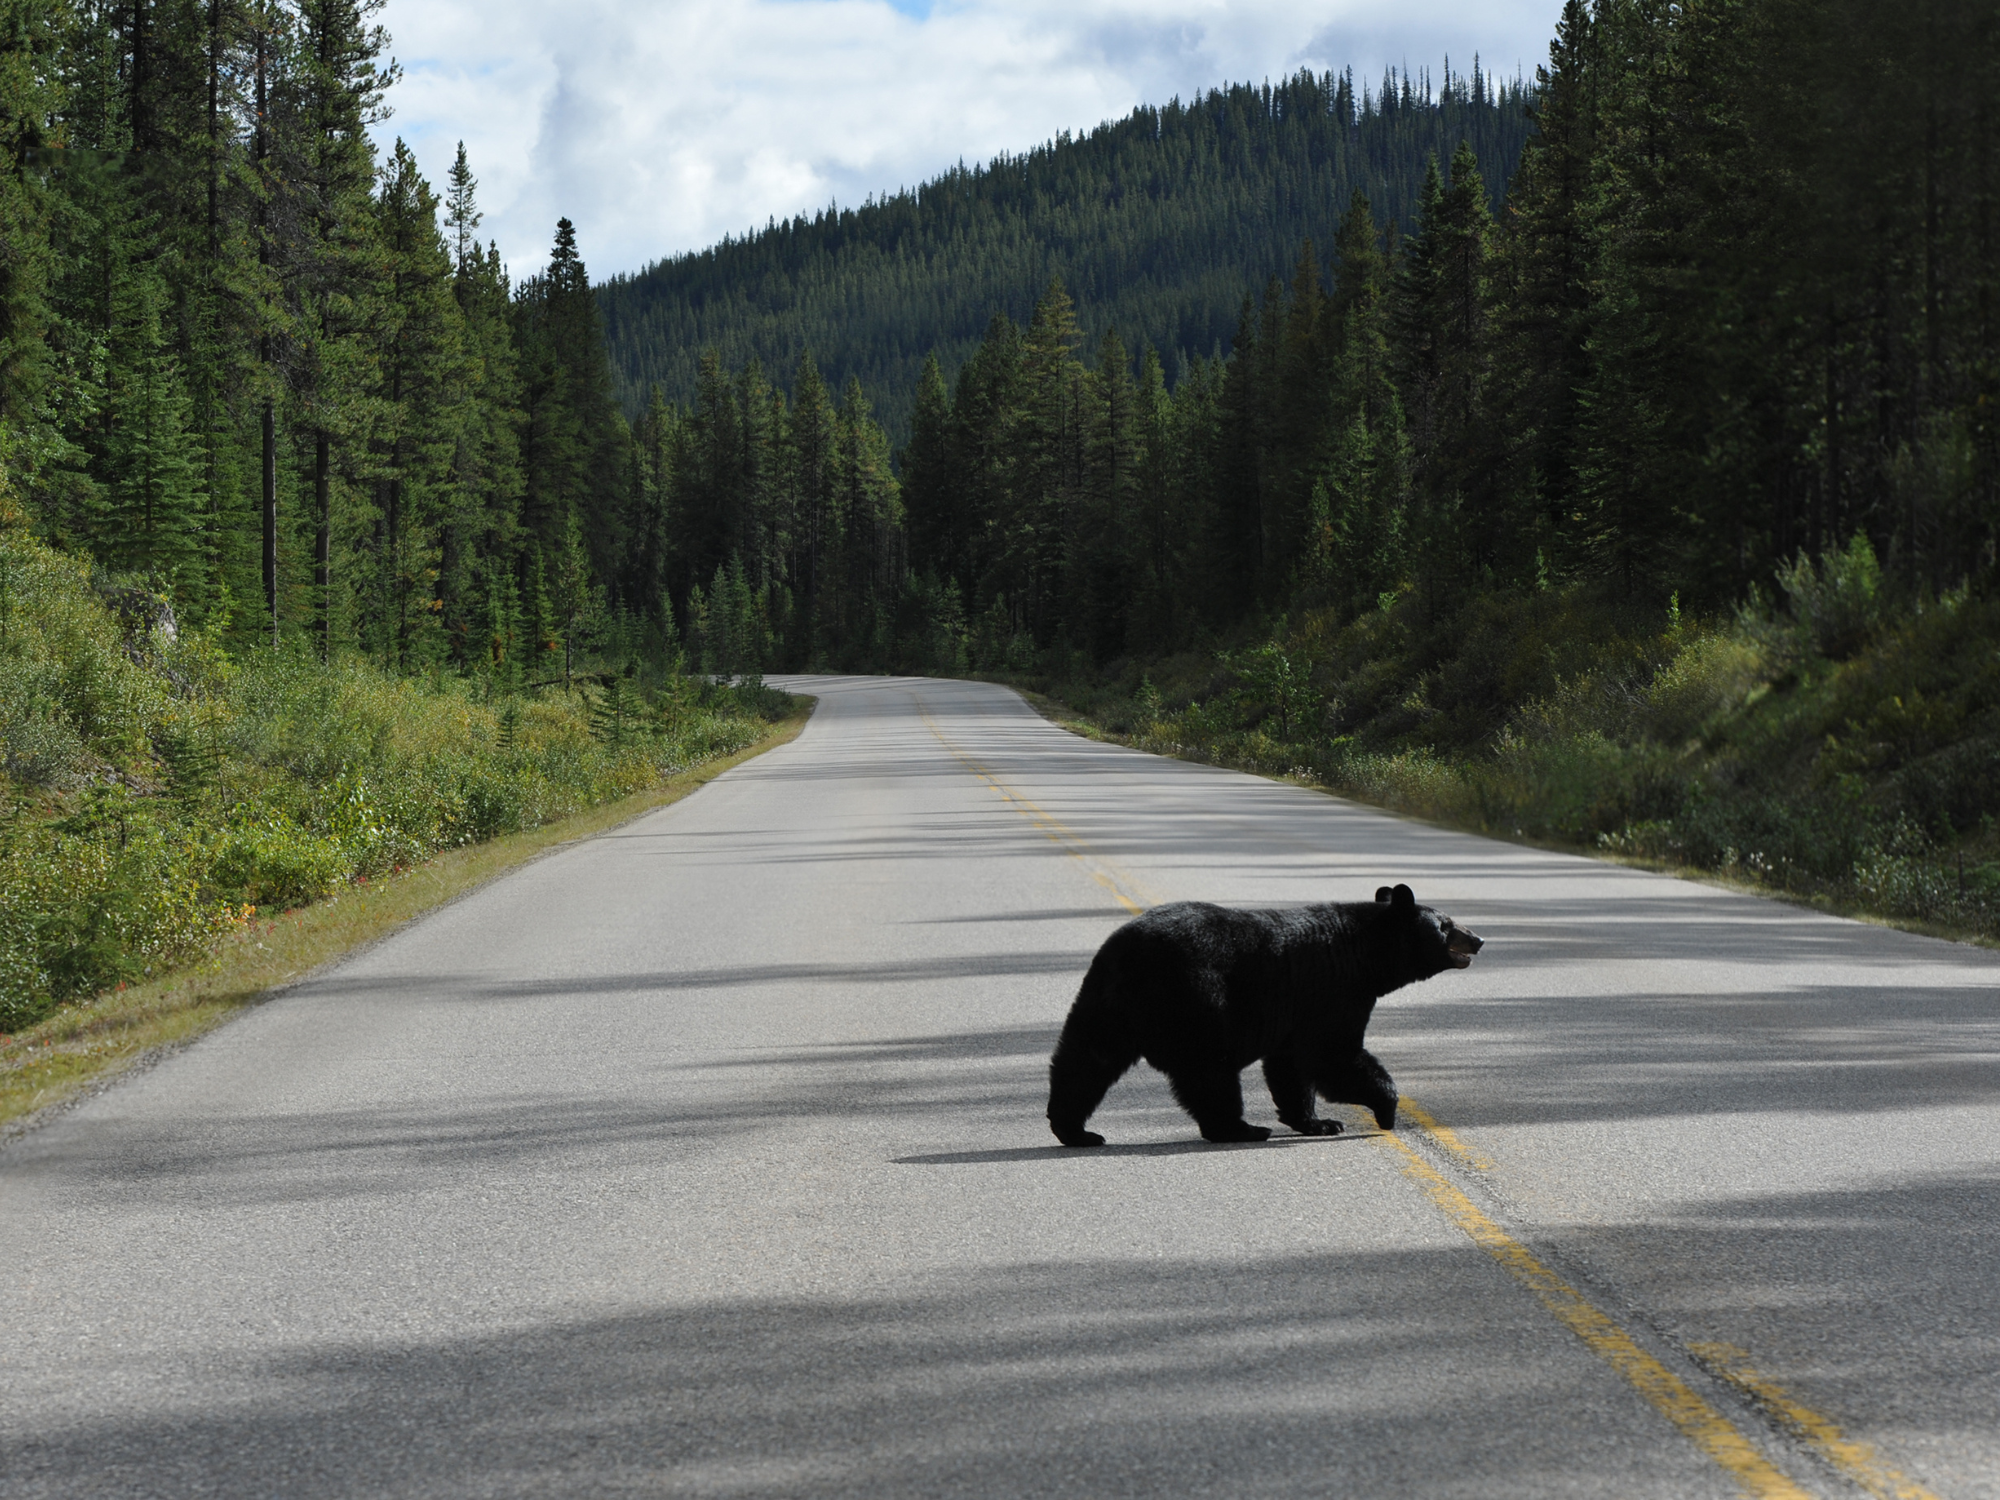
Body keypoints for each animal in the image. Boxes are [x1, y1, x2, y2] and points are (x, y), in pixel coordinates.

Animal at [1046, 884, 1483, 1147]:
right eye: (1445, 924)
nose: (1477, 939)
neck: (1364, 954)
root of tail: (1130, 953)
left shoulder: (1297, 1013)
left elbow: (1291, 1067)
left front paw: (1319, 1122)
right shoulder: (1333, 993)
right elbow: (1333, 1056)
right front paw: (1386, 1110)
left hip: (1106, 1002)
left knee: (1085, 1060)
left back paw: (1074, 1129)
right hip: (1199, 1001)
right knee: (1210, 1072)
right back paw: (1241, 1128)